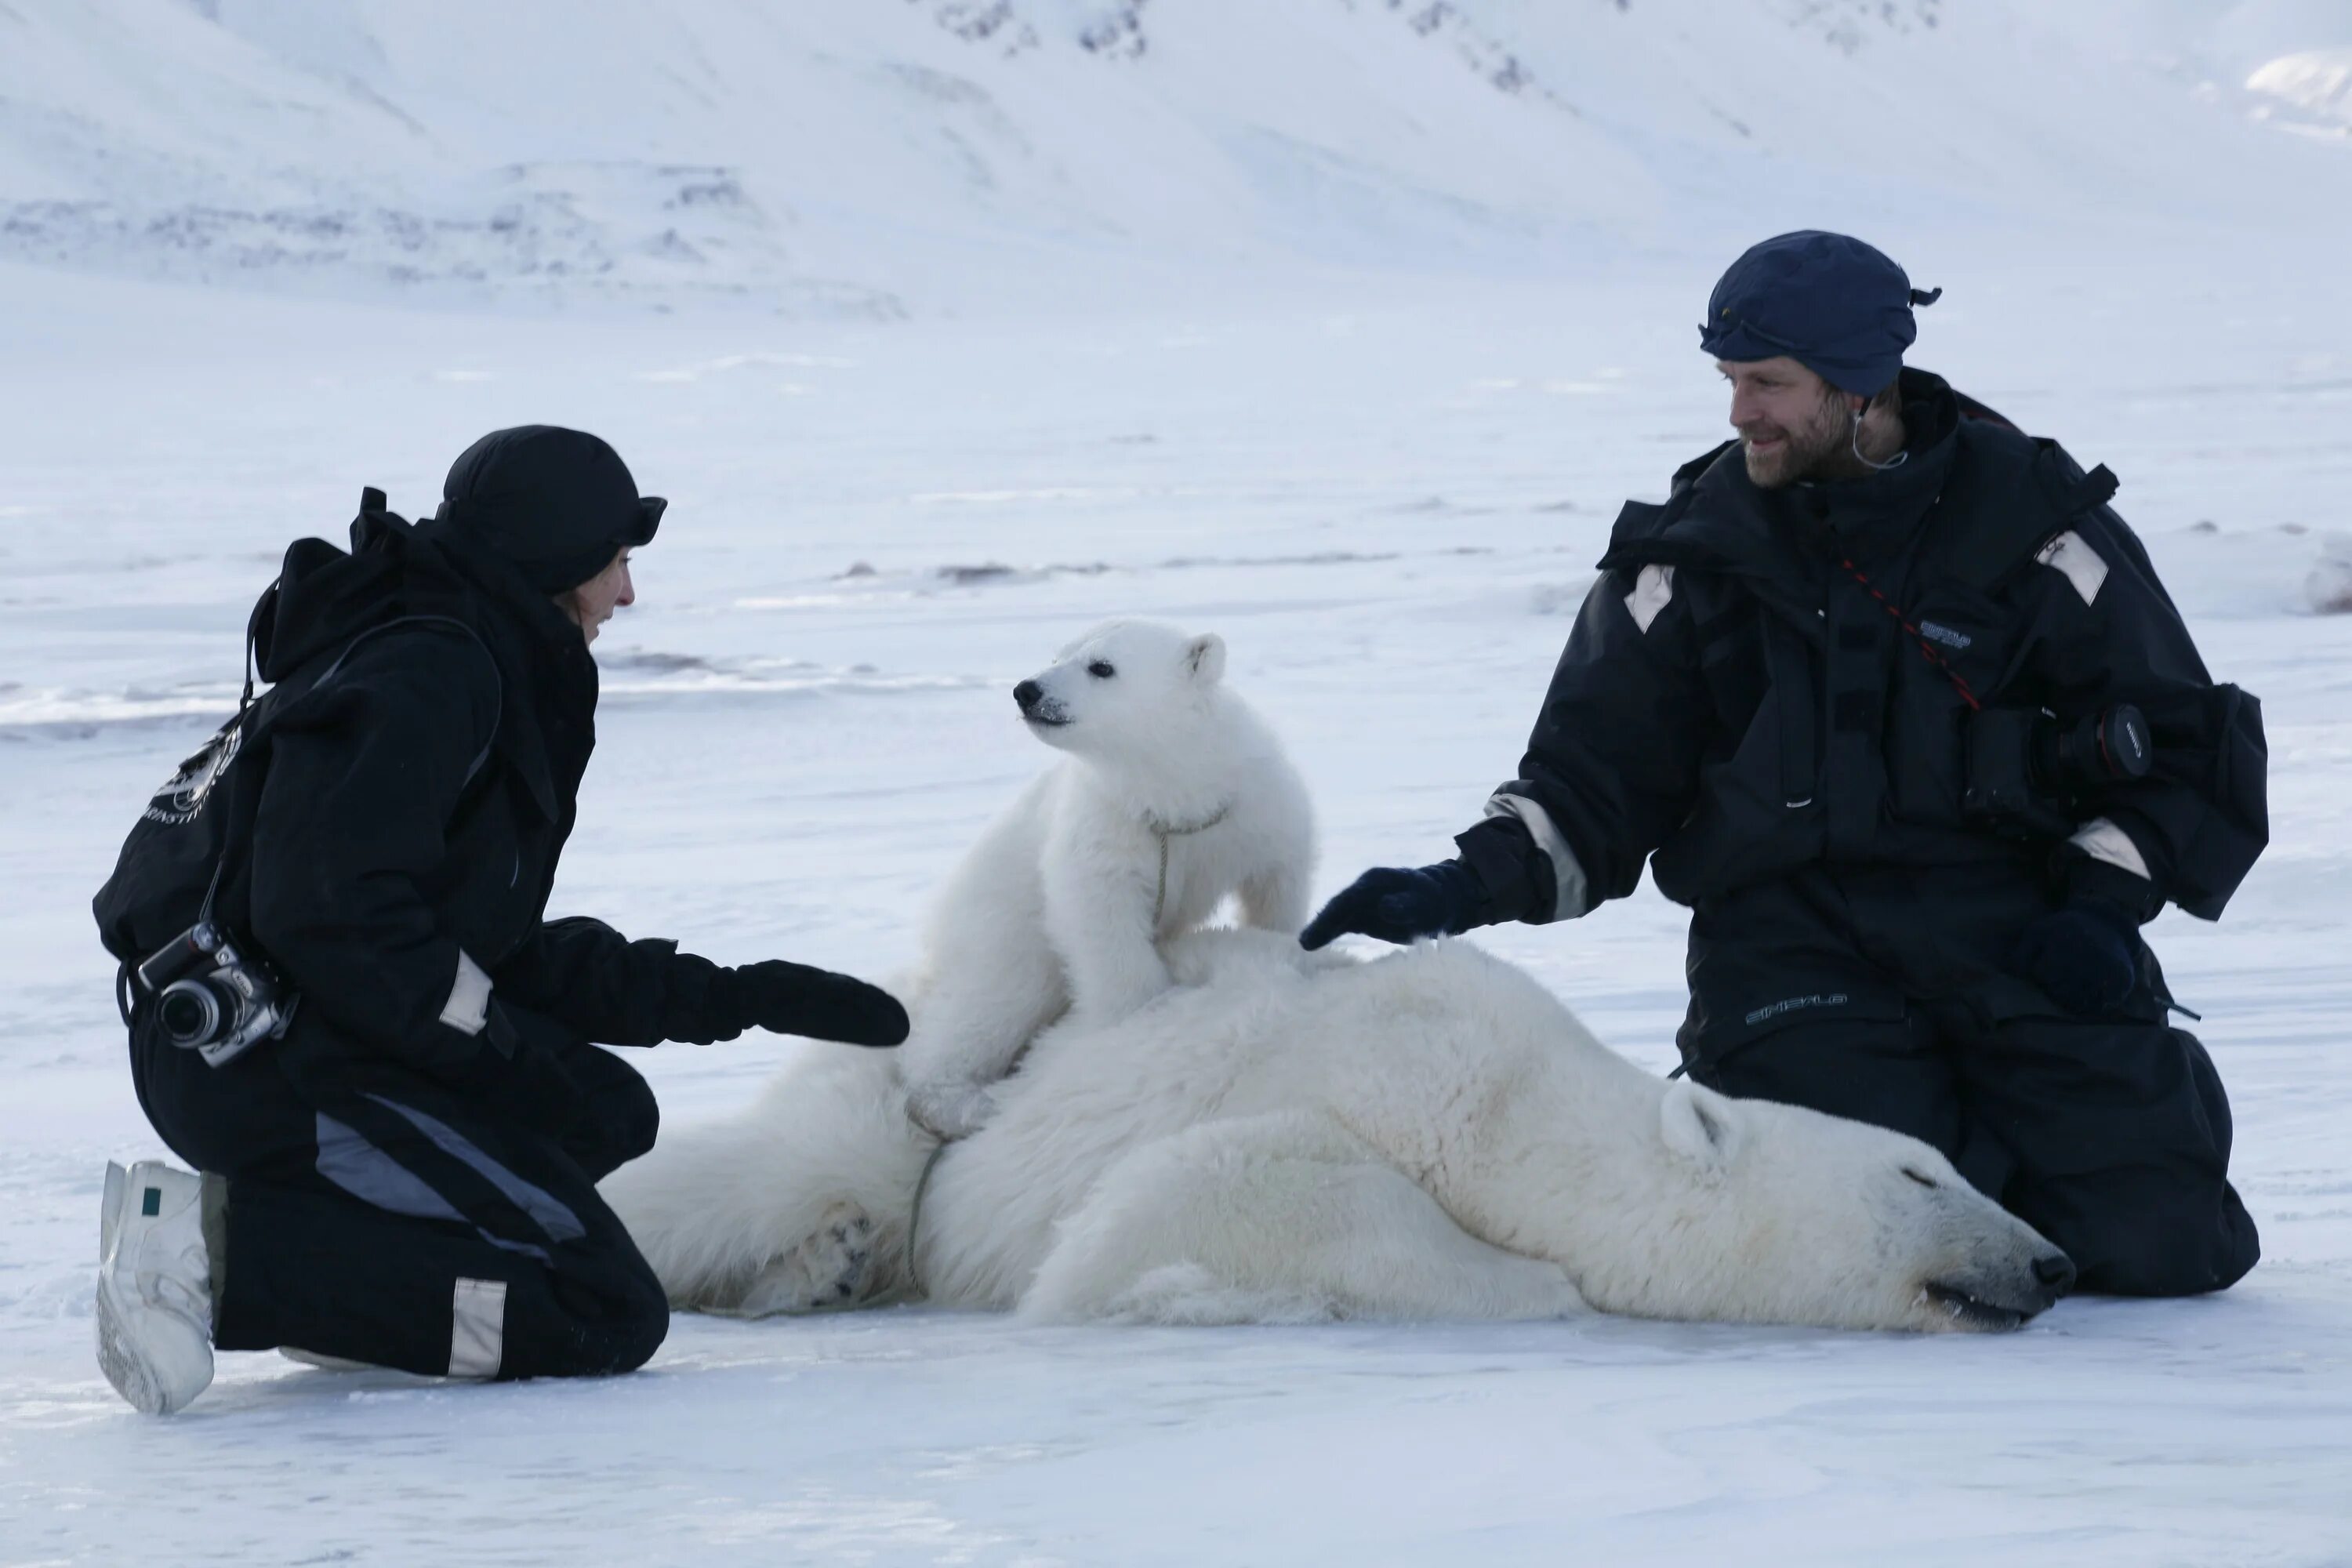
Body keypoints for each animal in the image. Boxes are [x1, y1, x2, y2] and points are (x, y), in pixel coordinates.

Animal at [607, 931, 2079, 1335]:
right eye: (1921, 1168)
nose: (2054, 1261)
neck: (1512, 1105)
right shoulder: (1371, 1081)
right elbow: (1246, 1179)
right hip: (897, 1107)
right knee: (761, 1175)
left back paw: (823, 1273)